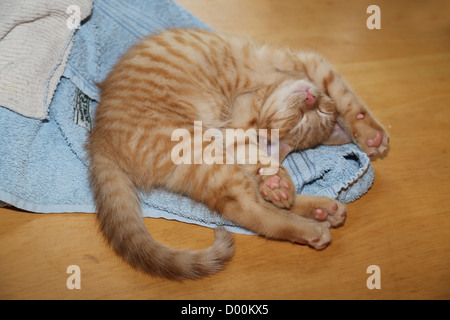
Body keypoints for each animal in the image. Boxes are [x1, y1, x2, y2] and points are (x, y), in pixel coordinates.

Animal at [86, 29, 388, 280]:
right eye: (303, 115)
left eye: (318, 113)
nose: (311, 99)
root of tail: (99, 139)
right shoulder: (305, 64)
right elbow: (345, 96)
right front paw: (371, 135)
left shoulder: (233, 134)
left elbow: (257, 157)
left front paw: (275, 182)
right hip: (198, 146)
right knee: (247, 207)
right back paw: (309, 219)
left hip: (202, 157)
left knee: (245, 206)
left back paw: (320, 211)